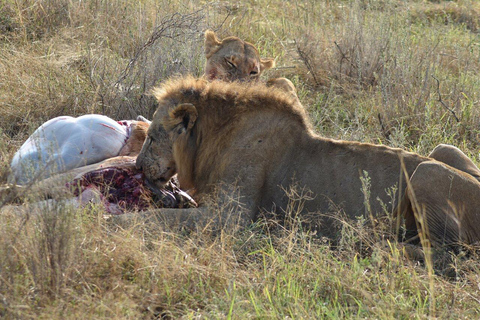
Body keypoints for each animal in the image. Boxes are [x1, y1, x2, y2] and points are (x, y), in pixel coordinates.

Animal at [136, 77, 480, 248]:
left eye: (151, 138)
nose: (137, 166)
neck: (212, 138)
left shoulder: (229, 217)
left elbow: (157, 218)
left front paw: (124, 221)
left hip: (424, 173)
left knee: (447, 254)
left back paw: (378, 244)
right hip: (444, 149)